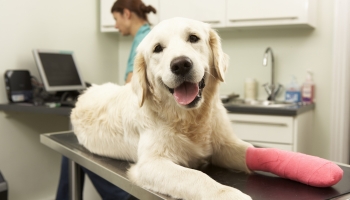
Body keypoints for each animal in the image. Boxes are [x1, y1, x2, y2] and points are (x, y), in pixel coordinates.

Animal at [70, 17, 252, 200]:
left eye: (193, 38)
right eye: (157, 48)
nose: (181, 64)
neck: (189, 118)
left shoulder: (224, 145)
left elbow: (248, 150)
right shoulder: (150, 163)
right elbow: (195, 175)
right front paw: (229, 194)